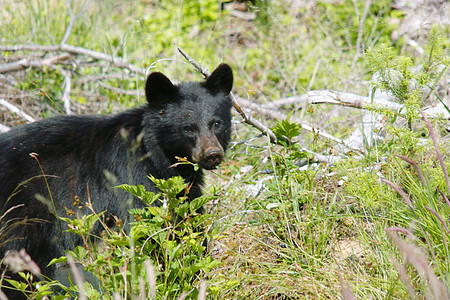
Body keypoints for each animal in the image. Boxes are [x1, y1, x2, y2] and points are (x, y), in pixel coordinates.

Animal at [0, 63, 232, 296]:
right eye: (188, 127)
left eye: (217, 123)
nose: (212, 153)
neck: (155, 151)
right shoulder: (134, 176)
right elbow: (150, 227)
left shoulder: (182, 183)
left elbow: (188, 219)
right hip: (23, 216)